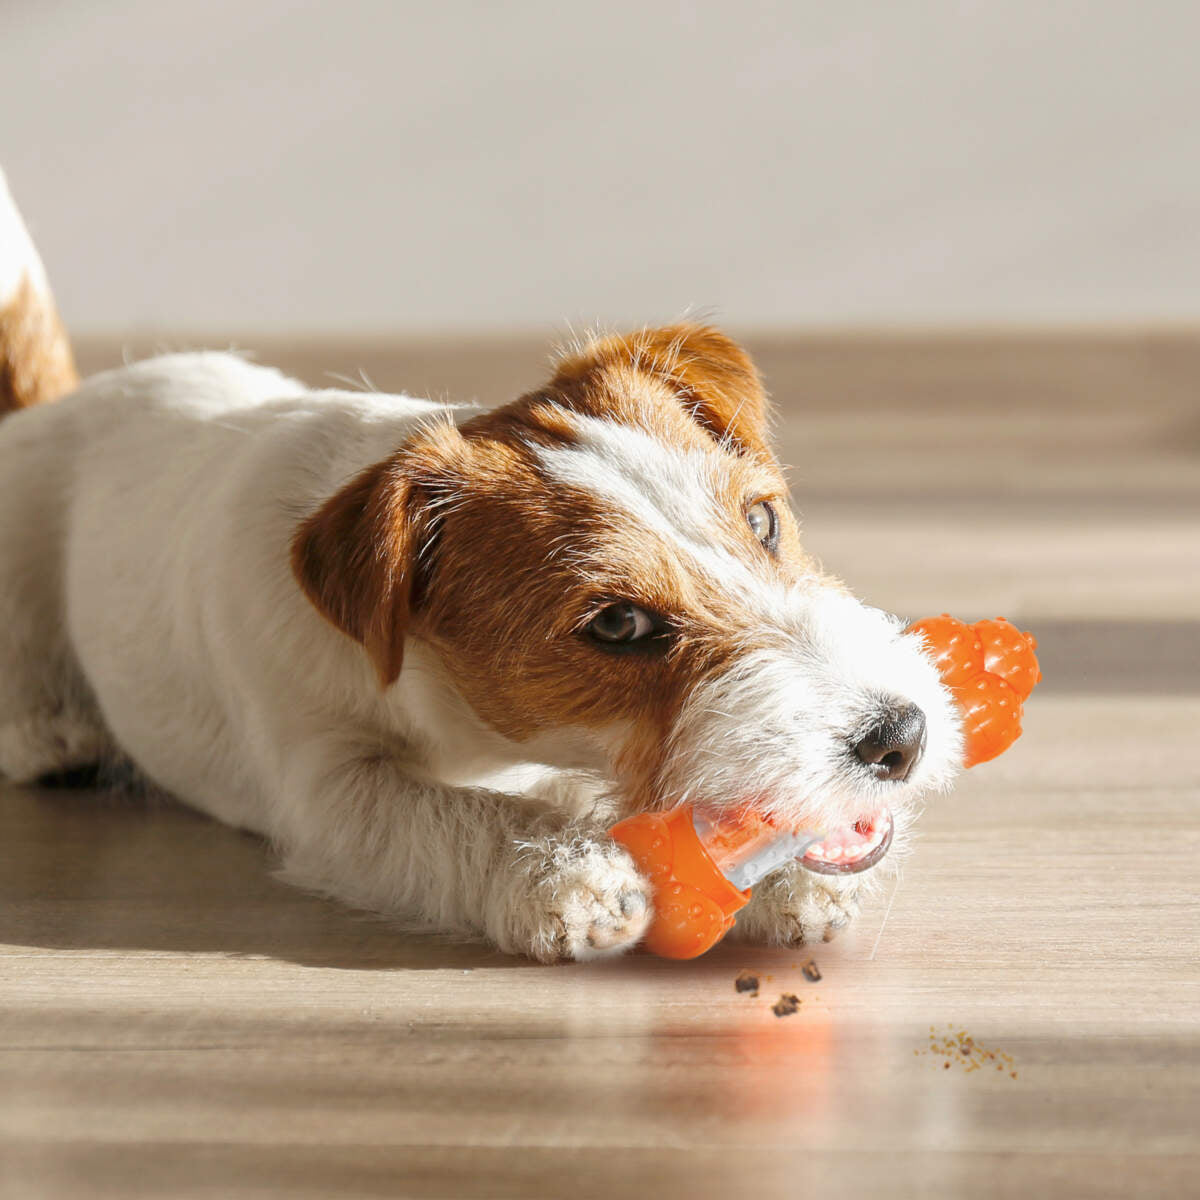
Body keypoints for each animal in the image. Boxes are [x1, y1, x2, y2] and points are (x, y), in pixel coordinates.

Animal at [0, 171, 960, 955]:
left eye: (762, 520)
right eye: (618, 623)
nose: (900, 736)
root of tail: (51, 413)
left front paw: (786, 870)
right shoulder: (329, 789)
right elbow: (453, 818)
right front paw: (566, 877)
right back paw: (56, 732)